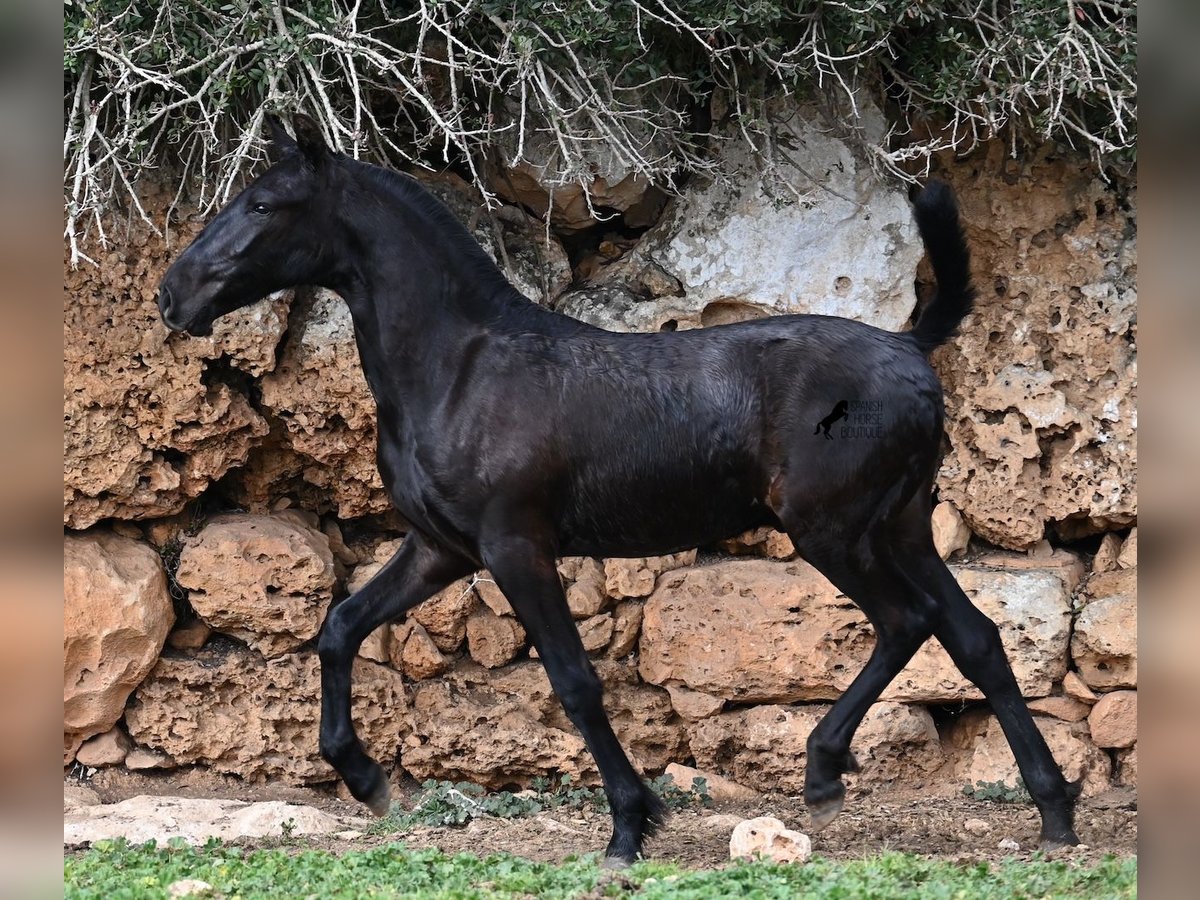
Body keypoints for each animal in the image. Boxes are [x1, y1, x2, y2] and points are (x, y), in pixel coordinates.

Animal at [154, 114, 1084, 868]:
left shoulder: (515, 546)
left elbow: (574, 682)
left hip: (834, 531)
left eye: (263, 205)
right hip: (901, 527)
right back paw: (1052, 813)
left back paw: (824, 774)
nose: (171, 295)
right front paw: (365, 778)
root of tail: (912, 349)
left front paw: (631, 827)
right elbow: (340, 626)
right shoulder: (442, 548)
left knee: (908, 621)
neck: (460, 369)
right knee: (975, 637)